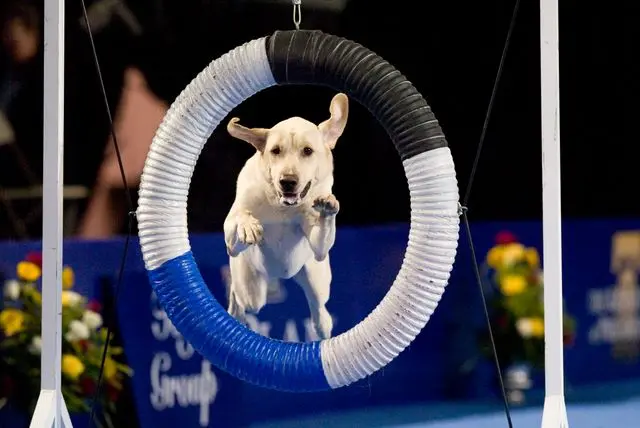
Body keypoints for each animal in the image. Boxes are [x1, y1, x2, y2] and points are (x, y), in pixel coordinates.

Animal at [222, 93, 348, 338]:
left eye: (307, 151)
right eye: (275, 150)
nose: (287, 181)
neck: (283, 207)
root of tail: (280, 276)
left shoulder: (318, 247)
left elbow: (320, 239)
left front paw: (326, 208)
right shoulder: (232, 236)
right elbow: (239, 218)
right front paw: (248, 225)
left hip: (316, 278)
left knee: (319, 308)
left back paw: (323, 327)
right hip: (250, 287)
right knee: (241, 299)